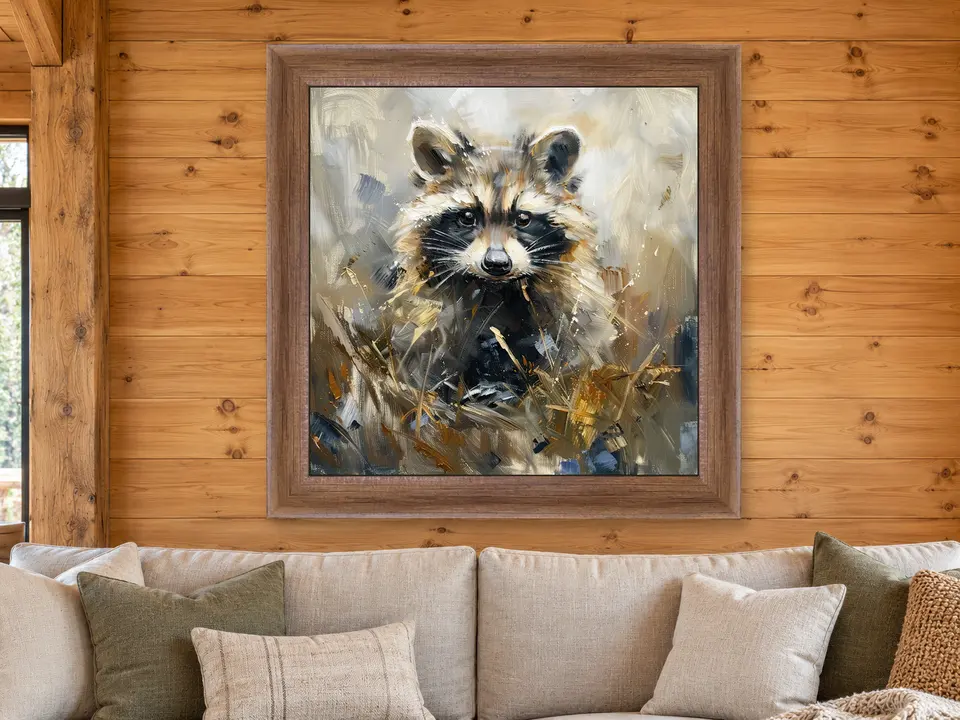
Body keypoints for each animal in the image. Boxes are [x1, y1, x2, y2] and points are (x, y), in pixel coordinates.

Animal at [384, 121, 615, 406]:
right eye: (467, 216)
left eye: (523, 218)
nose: (496, 263)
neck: (496, 289)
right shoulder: (430, 315)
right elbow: (426, 353)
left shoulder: (573, 307)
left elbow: (576, 349)